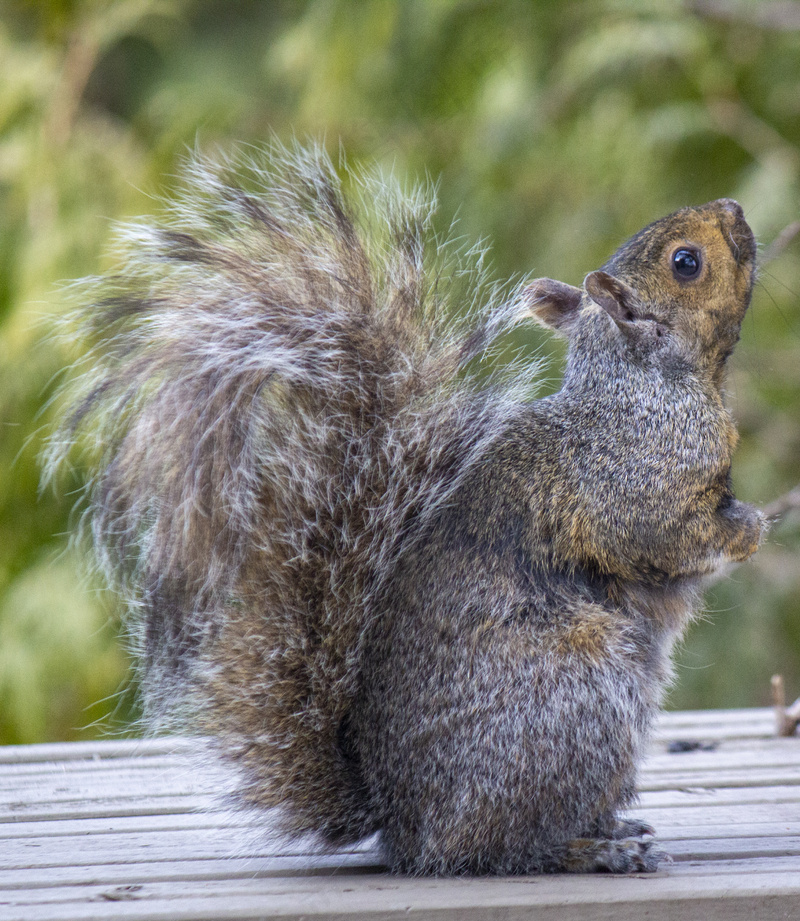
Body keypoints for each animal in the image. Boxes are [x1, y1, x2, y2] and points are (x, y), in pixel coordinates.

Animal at [48, 146, 764, 876]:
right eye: (685, 262)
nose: (734, 207)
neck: (646, 382)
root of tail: (404, 823)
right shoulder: (633, 480)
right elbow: (665, 535)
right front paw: (752, 530)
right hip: (577, 700)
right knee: (502, 847)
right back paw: (592, 849)